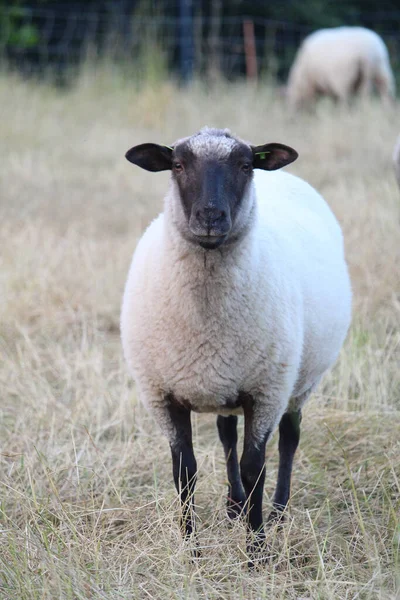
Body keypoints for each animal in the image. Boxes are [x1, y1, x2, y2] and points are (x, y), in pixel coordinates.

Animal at [120, 126, 352, 564]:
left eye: (245, 165)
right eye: (178, 164)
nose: (211, 218)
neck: (207, 320)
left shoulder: (265, 392)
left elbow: (254, 466)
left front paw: (256, 550)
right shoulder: (163, 394)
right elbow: (185, 471)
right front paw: (191, 549)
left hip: (296, 379)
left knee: (290, 437)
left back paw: (276, 510)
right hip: (225, 382)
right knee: (226, 432)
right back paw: (234, 505)